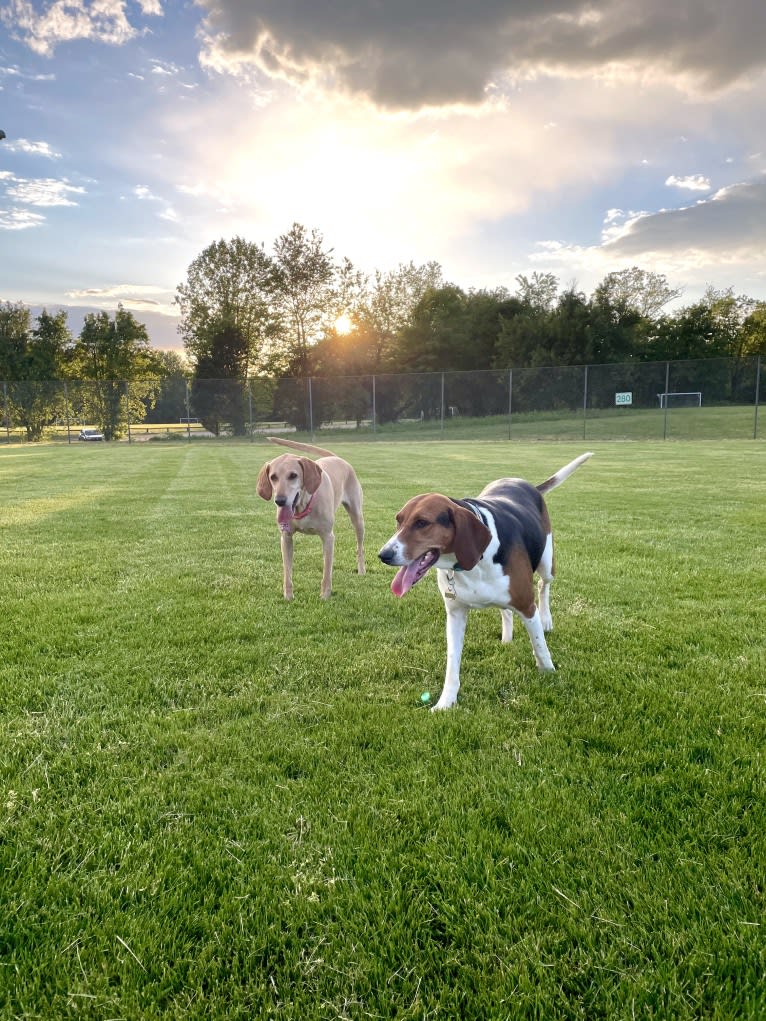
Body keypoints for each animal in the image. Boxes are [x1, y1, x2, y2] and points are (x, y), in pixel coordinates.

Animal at [256, 436, 367, 596]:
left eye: (293, 475)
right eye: (273, 477)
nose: (280, 501)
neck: (303, 506)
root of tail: (336, 458)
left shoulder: (328, 537)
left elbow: (327, 573)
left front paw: (325, 596)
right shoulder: (286, 537)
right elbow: (287, 573)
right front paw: (288, 596)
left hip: (357, 518)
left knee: (360, 547)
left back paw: (362, 570)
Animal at [377, 455, 592, 710]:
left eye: (422, 523)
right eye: (398, 521)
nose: (384, 554)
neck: (472, 562)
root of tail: (526, 483)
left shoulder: (527, 606)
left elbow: (539, 645)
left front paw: (548, 672)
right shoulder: (455, 614)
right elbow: (452, 664)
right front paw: (446, 701)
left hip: (547, 563)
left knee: (543, 586)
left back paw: (547, 619)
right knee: (506, 610)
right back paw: (507, 638)